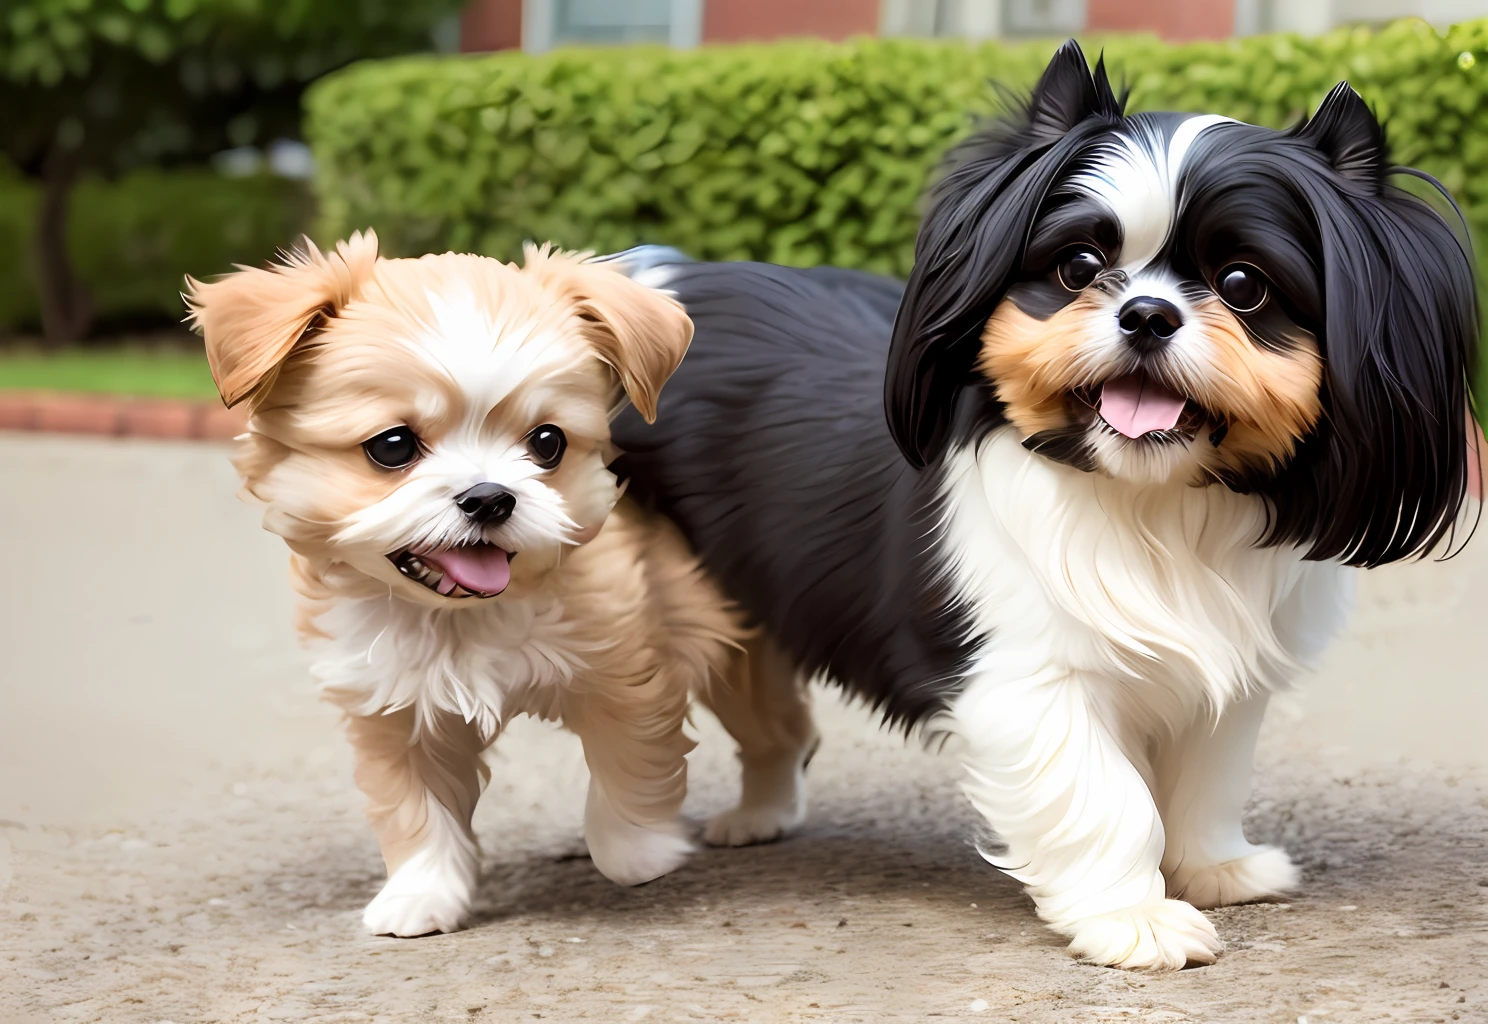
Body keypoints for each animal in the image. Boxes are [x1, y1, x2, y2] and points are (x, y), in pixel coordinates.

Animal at [601, 42, 1476, 970]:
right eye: (1079, 269)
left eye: (1244, 285)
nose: (1147, 312)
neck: (1150, 505)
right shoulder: (1030, 679)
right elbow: (1107, 797)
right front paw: (1135, 916)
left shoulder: (1227, 683)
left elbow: (1206, 778)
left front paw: (1214, 868)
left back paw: (758, 817)